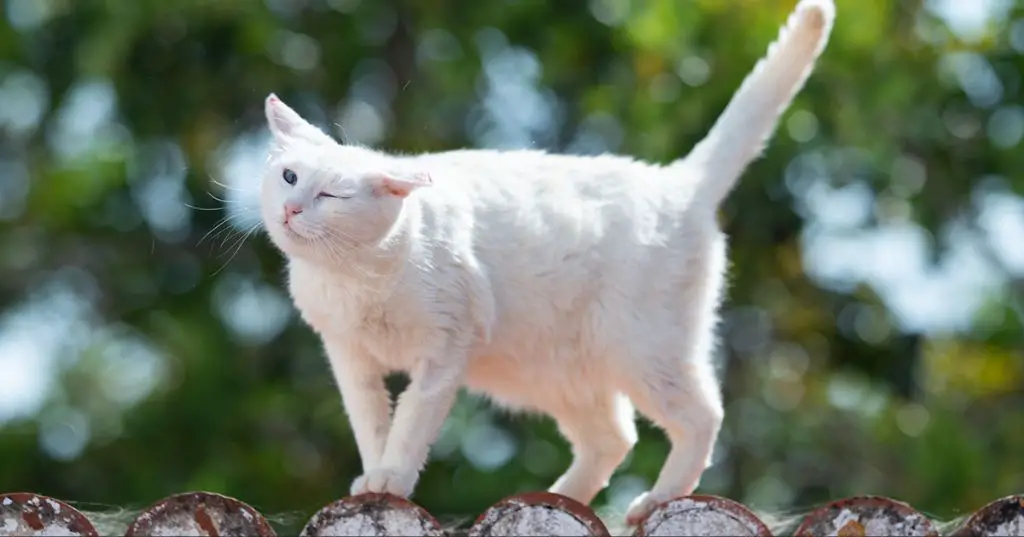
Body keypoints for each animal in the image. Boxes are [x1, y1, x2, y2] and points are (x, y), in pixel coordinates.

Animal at [253, 0, 831, 524]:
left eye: (329, 195)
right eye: (288, 177)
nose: (290, 208)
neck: (358, 277)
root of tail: (677, 182)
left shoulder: (443, 352)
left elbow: (411, 422)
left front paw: (392, 477)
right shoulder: (350, 357)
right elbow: (371, 423)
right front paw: (374, 477)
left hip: (644, 349)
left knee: (702, 416)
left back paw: (655, 499)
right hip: (555, 374)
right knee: (613, 438)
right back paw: (557, 501)